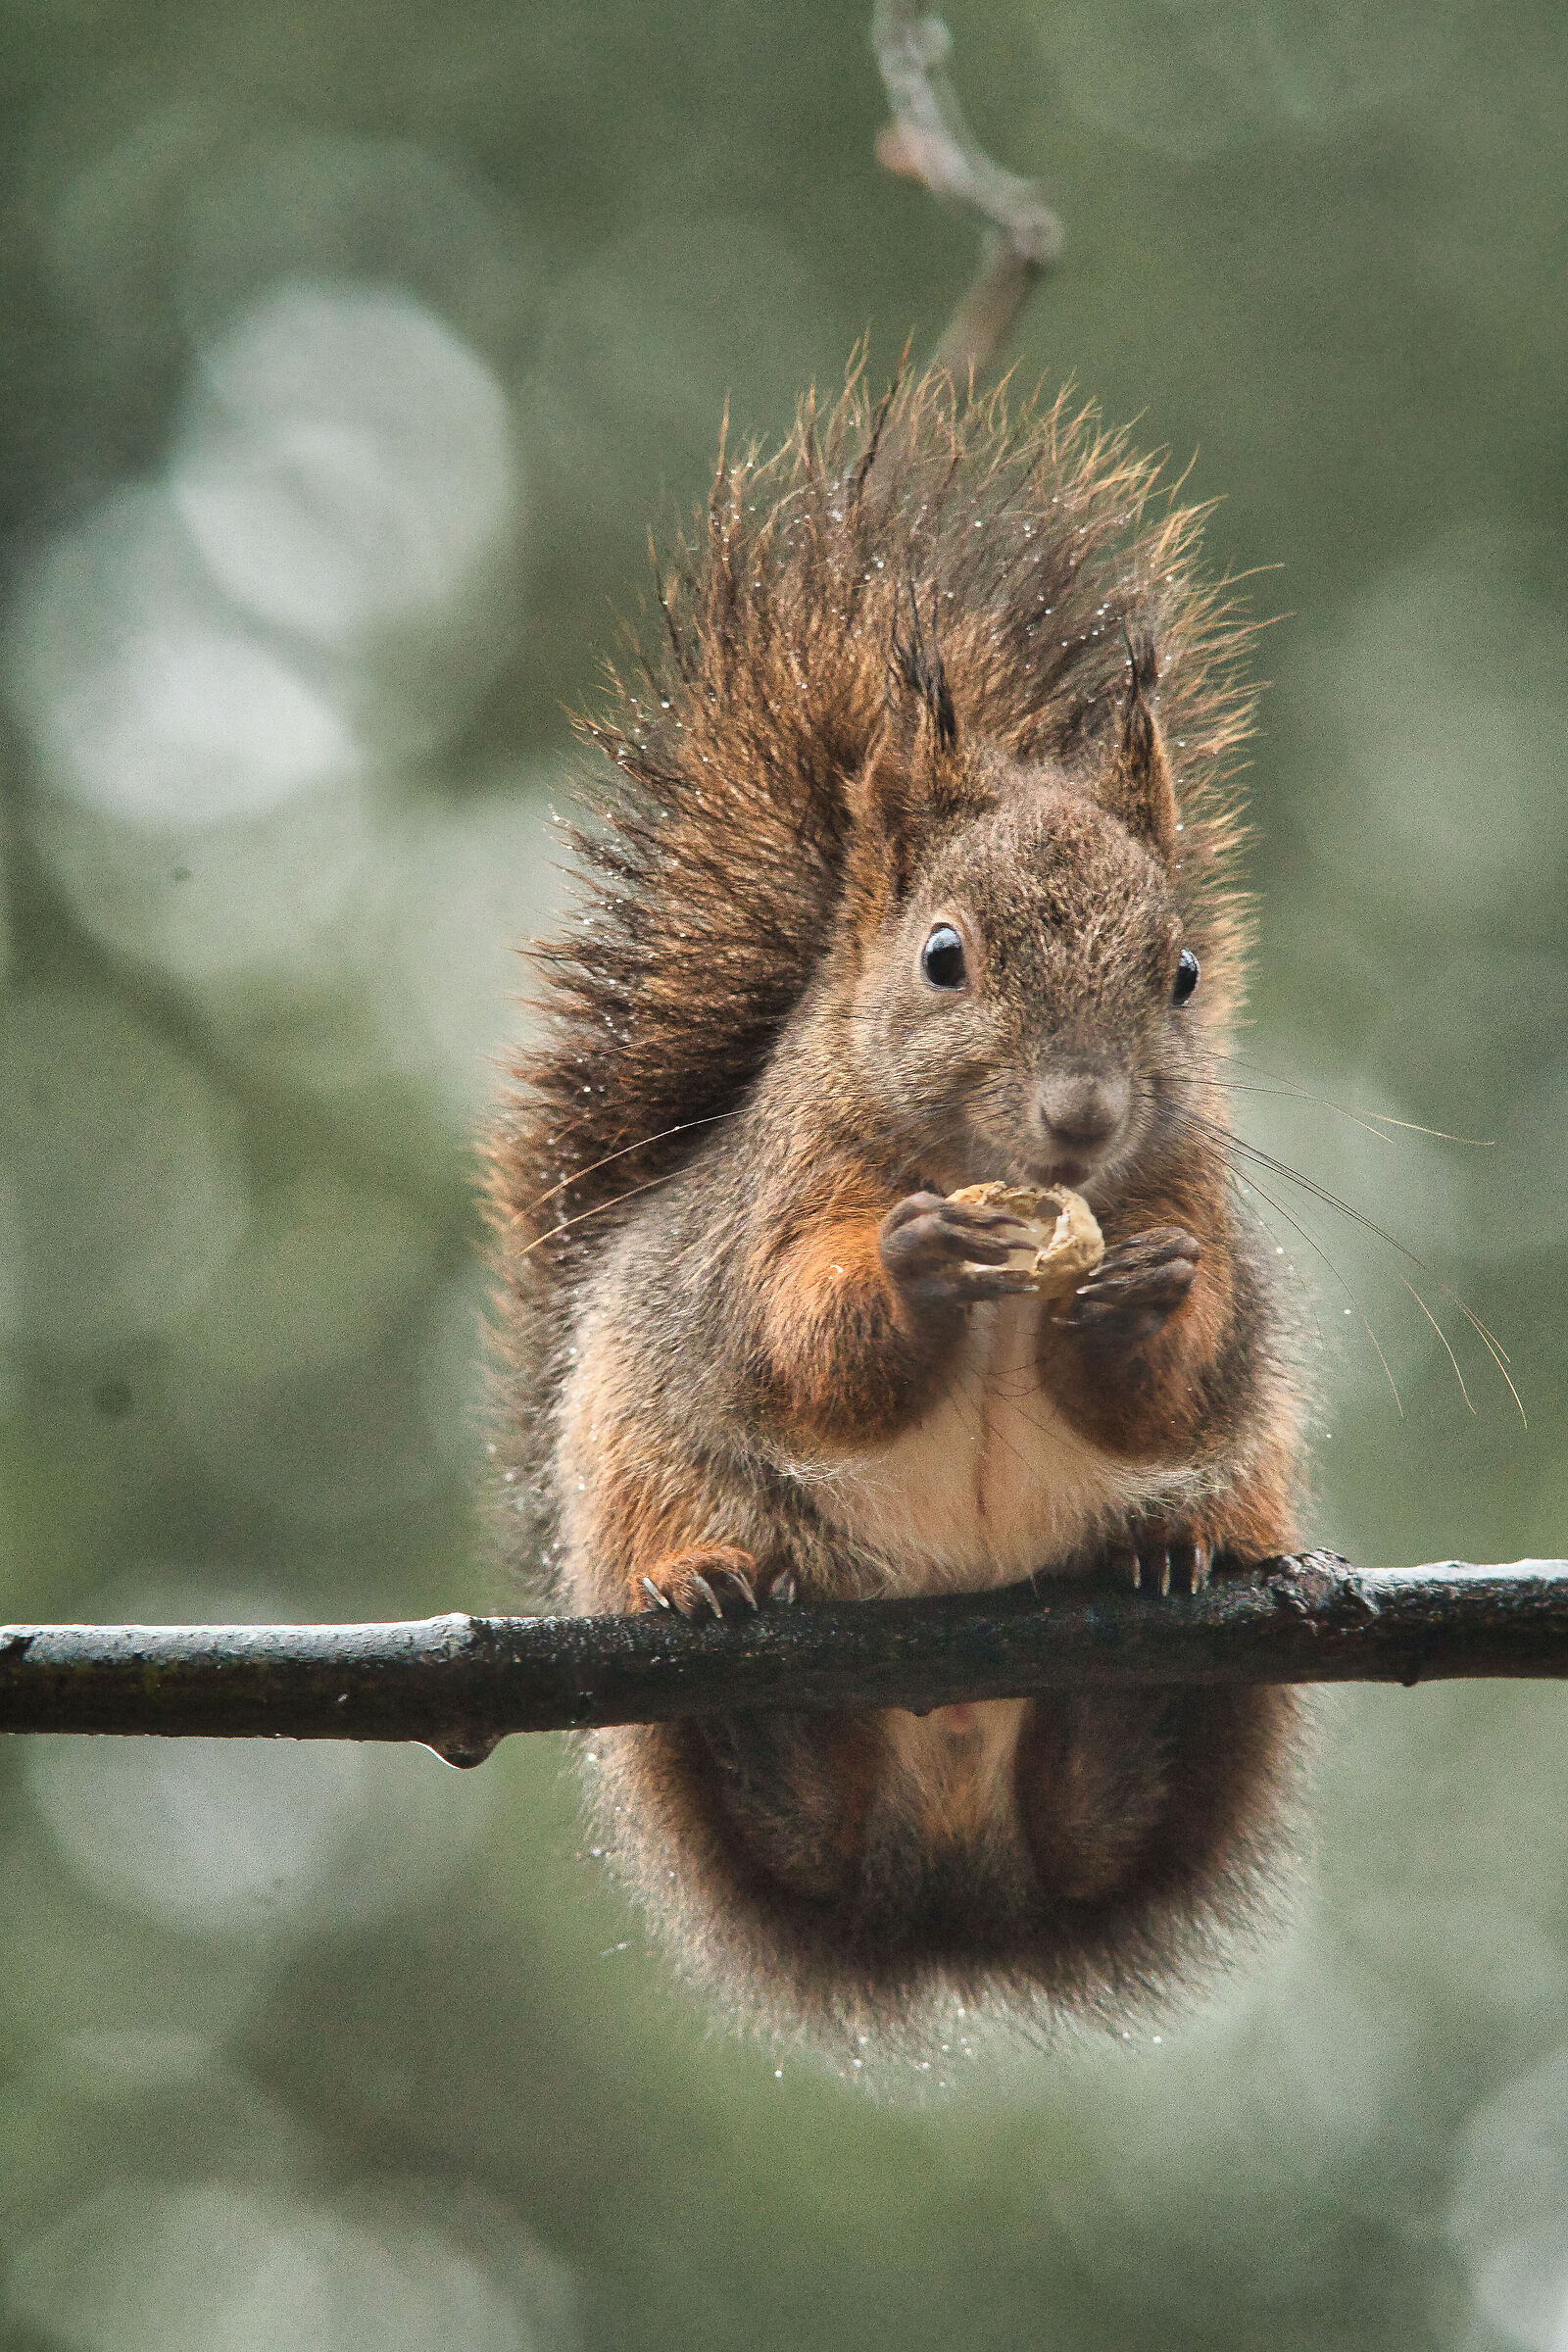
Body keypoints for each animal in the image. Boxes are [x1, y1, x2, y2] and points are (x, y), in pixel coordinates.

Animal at [487, 372, 1307, 2041]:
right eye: (943, 957)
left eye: (1183, 976)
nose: (1081, 1117)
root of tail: (948, 1859)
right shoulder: (780, 1209)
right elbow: (803, 1346)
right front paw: (921, 1265)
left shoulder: (1196, 1209)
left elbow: (1185, 1382)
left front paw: (1137, 1304)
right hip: (640, 1472)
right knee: (783, 1804)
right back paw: (722, 1608)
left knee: (1109, 1801)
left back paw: (1158, 1602)